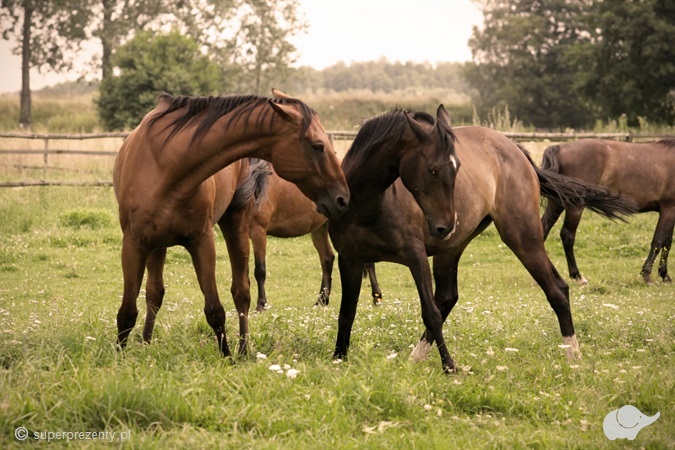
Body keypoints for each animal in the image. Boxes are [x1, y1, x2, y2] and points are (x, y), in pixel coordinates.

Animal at [112, 89, 348, 356]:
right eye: (318, 146)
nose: (342, 198)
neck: (165, 165)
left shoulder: (202, 241)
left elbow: (215, 309)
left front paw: (226, 356)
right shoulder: (134, 243)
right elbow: (128, 311)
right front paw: (120, 356)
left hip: (236, 226)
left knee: (241, 292)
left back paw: (243, 350)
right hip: (158, 244)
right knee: (154, 292)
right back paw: (146, 342)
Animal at [250, 163, 386, 312]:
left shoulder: (258, 230)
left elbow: (260, 270)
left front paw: (261, 304)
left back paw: (377, 297)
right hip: (320, 227)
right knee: (327, 258)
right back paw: (321, 301)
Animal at [330, 108, 636, 372]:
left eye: (457, 169)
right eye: (432, 169)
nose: (446, 225)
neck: (370, 204)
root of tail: (518, 152)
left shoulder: (415, 257)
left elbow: (429, 312)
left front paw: (450, 367)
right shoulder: (349, 260)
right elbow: (347, 311)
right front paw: (338, 359)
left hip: (522, 238)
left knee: (556, 290)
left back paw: (573, 355)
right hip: (451, 249)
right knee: (449, 297)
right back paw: (415, 357)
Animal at [540, 139, 672, 284]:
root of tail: (560, 147)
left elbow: (667, 243)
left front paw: (665, 275)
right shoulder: (668, 209)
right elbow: (658, 241)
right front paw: (647, 275)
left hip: (558, 202)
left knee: (543, 228)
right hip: (575, 205)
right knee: (567, 235)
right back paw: (577, 276)